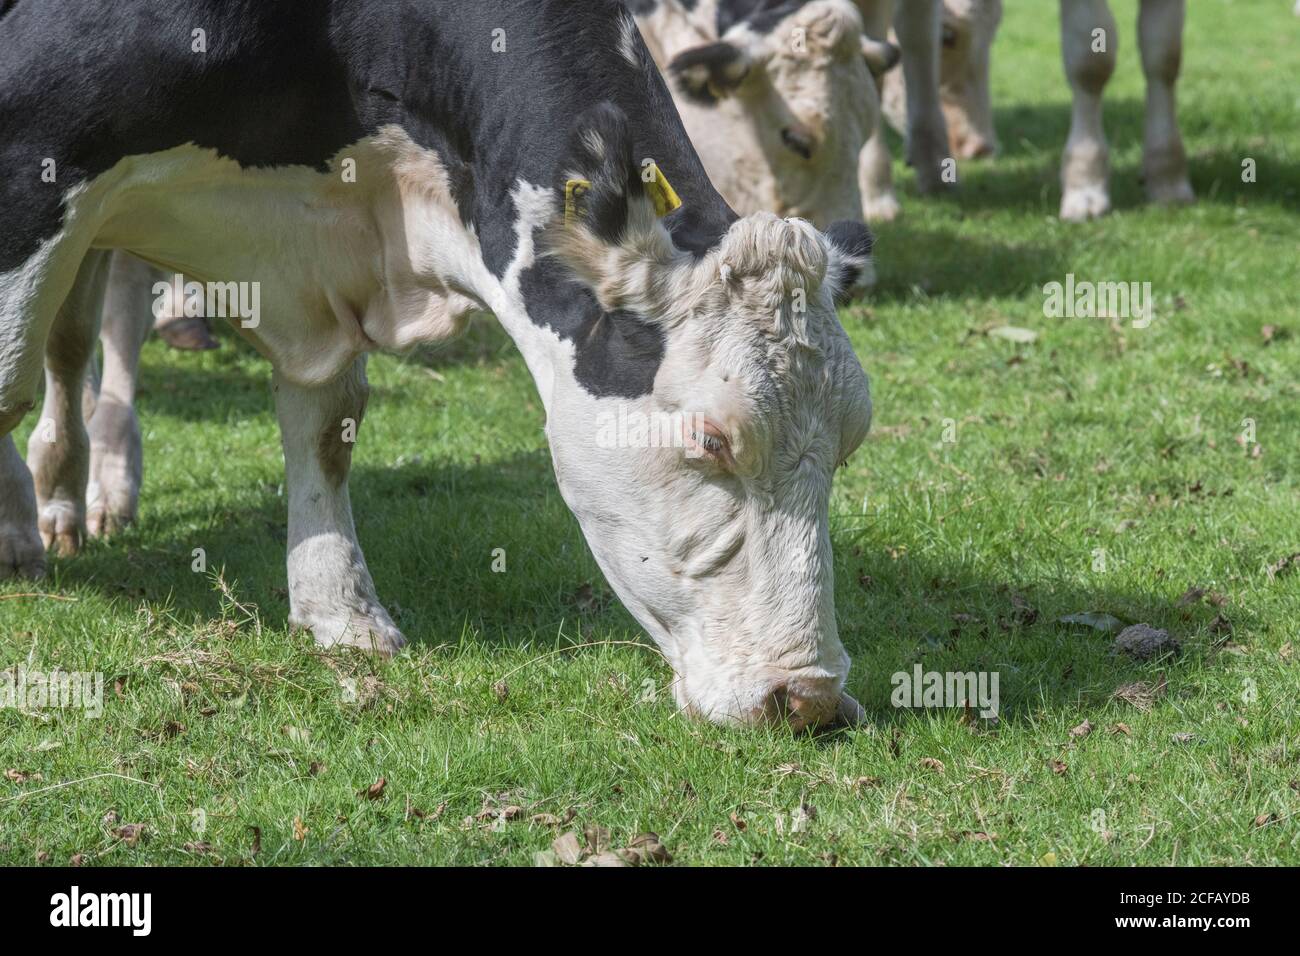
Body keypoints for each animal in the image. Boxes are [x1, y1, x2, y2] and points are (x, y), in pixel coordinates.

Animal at [0, 0, 876, 730]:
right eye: (710, 439)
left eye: (847, 447)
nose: (808, 697)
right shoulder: (37, 141)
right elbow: (9, 376)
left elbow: (325, 425)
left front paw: (340, 609)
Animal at [856, 0, 1192, 223]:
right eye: (949, 37)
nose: (980, 146)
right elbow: (1091, 63)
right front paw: (1085, 182)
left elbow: (1165, 56)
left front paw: (1167, 176)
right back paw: (877, 193)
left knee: (914, 29)